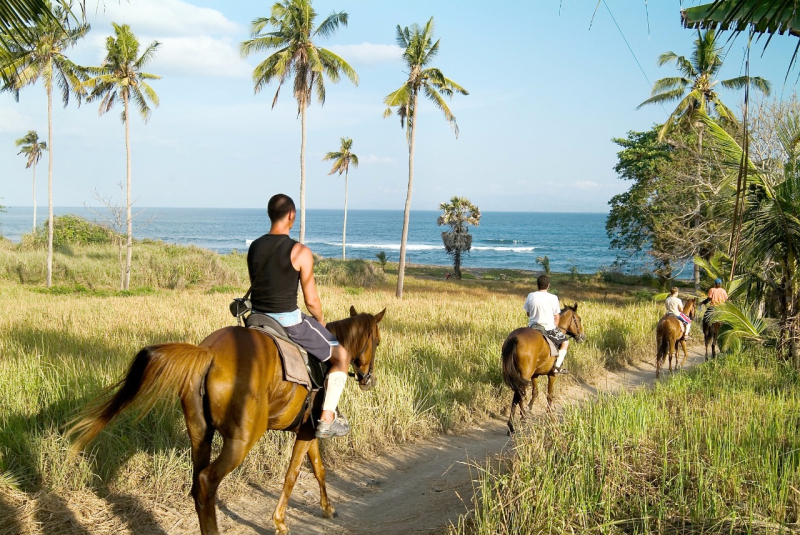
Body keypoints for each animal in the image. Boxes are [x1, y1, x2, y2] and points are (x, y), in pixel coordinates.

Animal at [68, 306, 386, 535]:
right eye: (378, 342)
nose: (368, 379)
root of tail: (209, 352)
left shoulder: (307, 430)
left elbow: (318, 468)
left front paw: (328, 508)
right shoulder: (308, 431)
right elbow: (294, 473)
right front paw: (280, 522)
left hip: (200, 435)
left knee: (198, 484)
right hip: (241, 440)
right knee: (207, 481)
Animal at [501, 303, 585, 434]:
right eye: (579, 319)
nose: (582, 336)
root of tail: (514, 338)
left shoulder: (535, 375)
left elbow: (535, 392)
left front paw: (529, 408)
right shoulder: (552, 374)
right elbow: (549, 395)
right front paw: (550, 414)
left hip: (519, 374)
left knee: (518, 394)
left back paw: (513, 424)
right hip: (525, 374)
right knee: (519, 394)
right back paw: (520, 419)